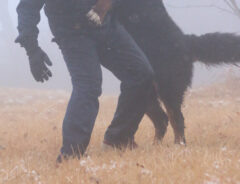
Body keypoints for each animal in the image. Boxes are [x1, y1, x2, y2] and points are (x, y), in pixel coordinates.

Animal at [88, 0, 240, 144]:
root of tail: (186, 42)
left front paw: (96, 13)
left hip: (169, 88)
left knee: (176, 119)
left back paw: (178, 145)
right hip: (146, 95)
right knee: (162, 119)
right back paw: (156, 146)